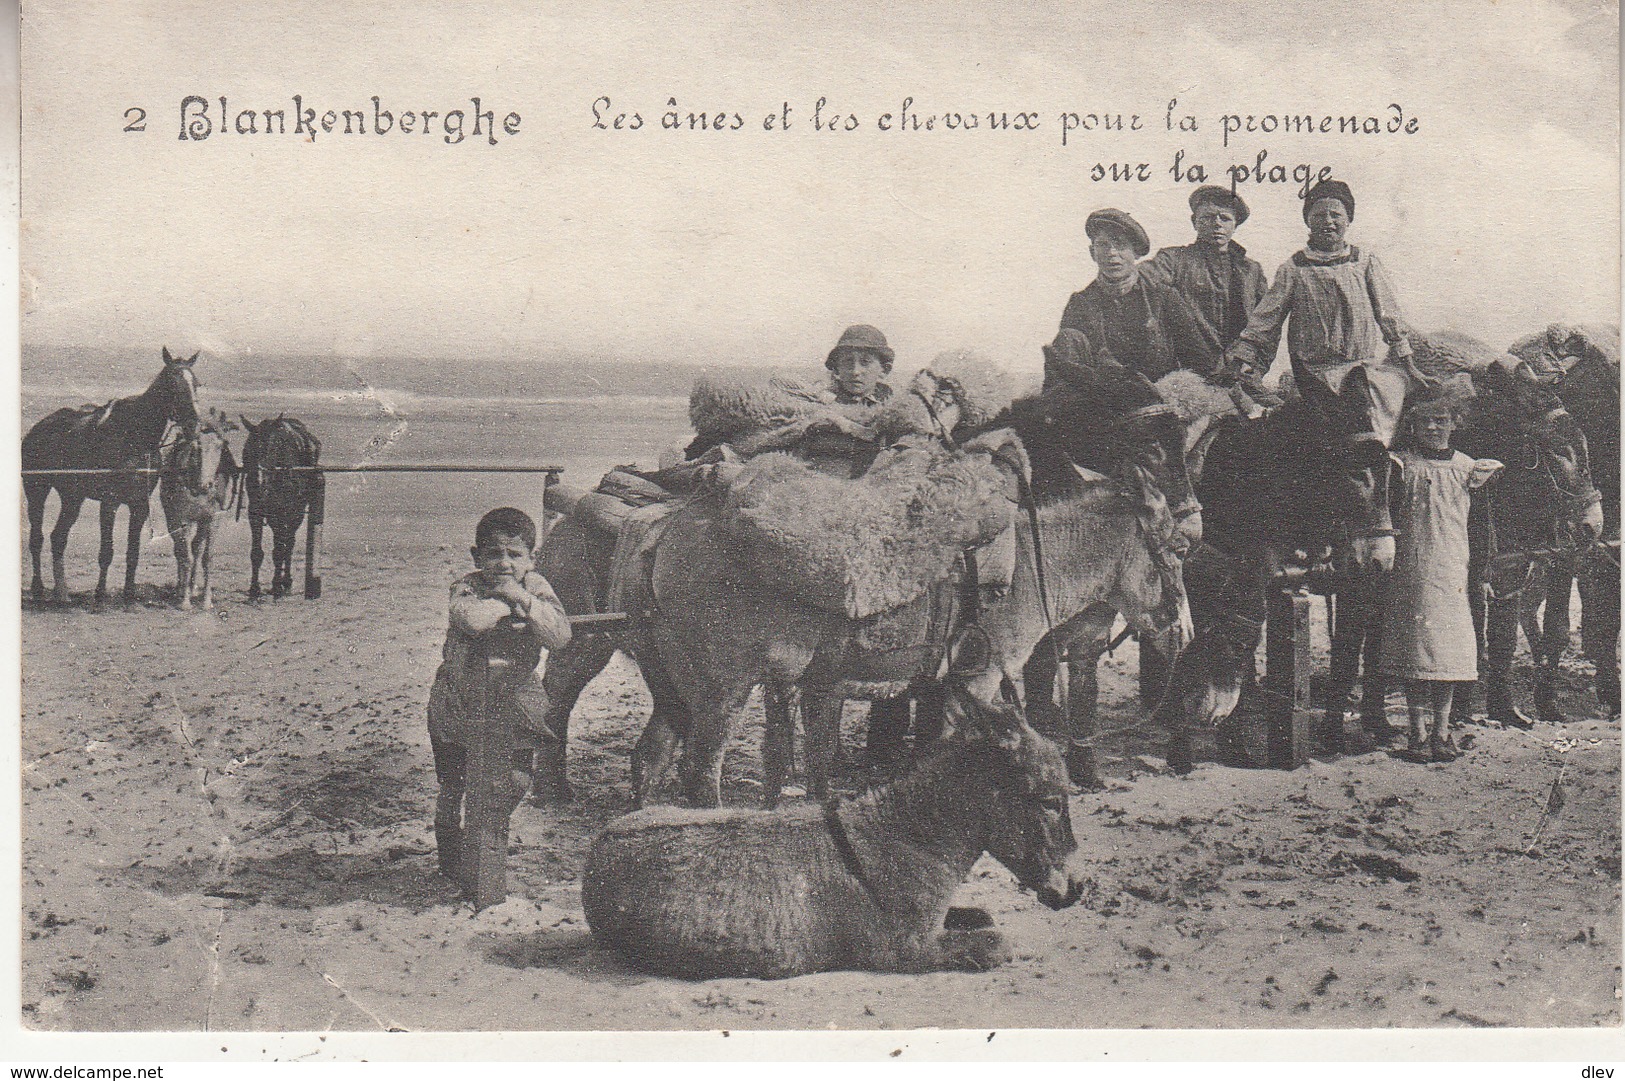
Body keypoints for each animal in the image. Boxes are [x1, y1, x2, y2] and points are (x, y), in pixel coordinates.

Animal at [24, 346, 206, 601]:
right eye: (172, 383)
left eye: (196, 384)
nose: (193, 426)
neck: (134, 437)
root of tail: (37, 429)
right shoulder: (109, 503)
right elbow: (106, 551)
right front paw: (100, 592)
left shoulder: (139, 505)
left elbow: (133, 551)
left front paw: (129, 593)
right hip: (36, 491)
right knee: (37, 538)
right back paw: (39, 587)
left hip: (72, 498)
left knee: (58, 537)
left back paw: (62, 593)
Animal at [158, 416, 243, 611]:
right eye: (196, 448)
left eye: (221, 446)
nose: (206, 485)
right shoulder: (183, 520)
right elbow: (186, 557)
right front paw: (184, 601)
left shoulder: (212, 520)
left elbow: (206, 557)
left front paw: (206, 600)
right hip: (172, 518)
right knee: (180, 551)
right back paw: (181, 588)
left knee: (196, 548)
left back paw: (193, 586)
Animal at [237, 412, 323, 598]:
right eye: (247, 449)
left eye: (271, 449)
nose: (257, 482)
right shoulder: (255, 513)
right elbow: (256, 553)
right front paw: (254, 589)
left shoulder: (283, 514)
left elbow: (279, 551)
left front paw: (277, 586)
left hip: (296, 513)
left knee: (289, 544)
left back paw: (286, 582)